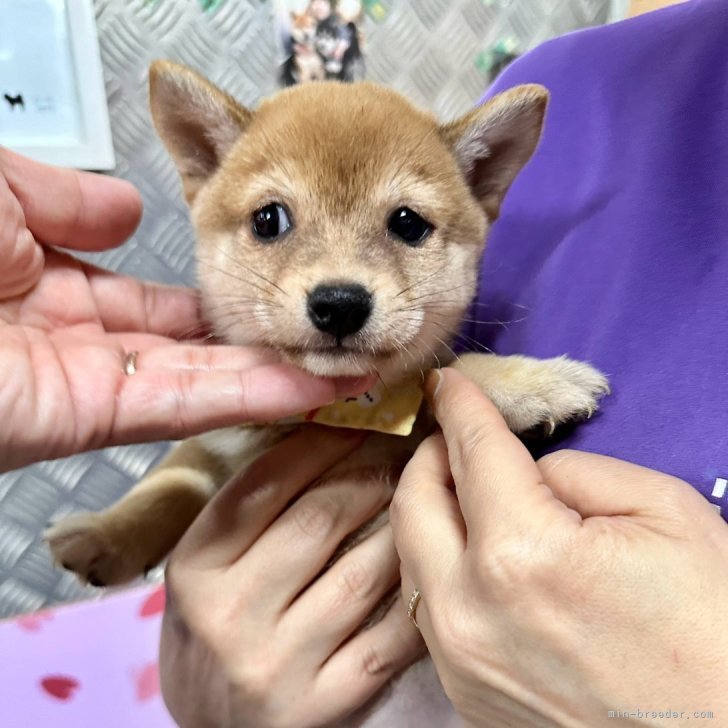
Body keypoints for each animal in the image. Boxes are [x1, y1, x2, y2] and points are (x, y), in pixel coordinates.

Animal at [47, 62, 608, 592]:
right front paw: (105, 532)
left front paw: (529, 382)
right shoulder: (212, 443)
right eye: (268, 219)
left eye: (408, 224)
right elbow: (172, 481)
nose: (339, 304)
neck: (334, 413)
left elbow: (441, 377)